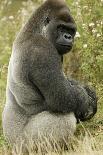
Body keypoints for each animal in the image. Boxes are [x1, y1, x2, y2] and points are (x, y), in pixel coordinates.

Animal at [2, 0, 97, 150]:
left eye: (70, 30)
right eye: (61, 27)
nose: (68, 37)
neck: (36, 30)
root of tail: (11, 143)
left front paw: (88, 91)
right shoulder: (42, 50)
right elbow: (62, 97)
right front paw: (87, 102)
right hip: (25, 143)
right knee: (65, 118)